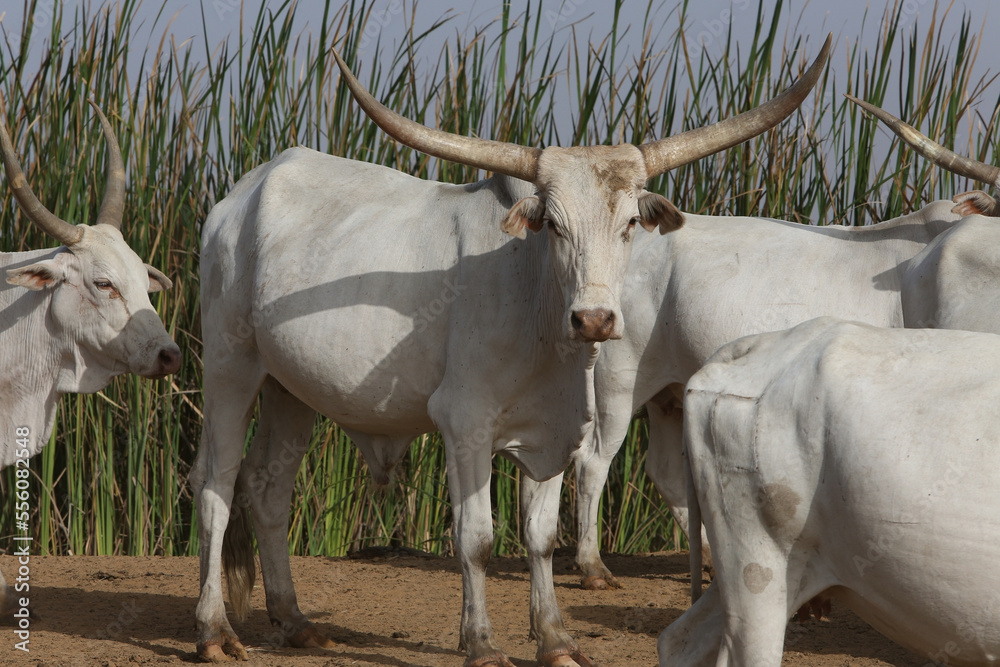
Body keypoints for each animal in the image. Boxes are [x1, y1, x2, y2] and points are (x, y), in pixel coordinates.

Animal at [188, 41, 830, 666]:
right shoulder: (463, 422)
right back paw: (214, 630)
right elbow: (476, 538)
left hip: (289, 388)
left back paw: (294, 621)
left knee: (268, 488)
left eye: (630, 223)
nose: (594, 319)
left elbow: (540, 536)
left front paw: (555, 640)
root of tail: (243, 194)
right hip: (228, 367)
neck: (537, 311)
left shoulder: (557, 426)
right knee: (215, 485)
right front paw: (481, 643)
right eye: (554, 226)